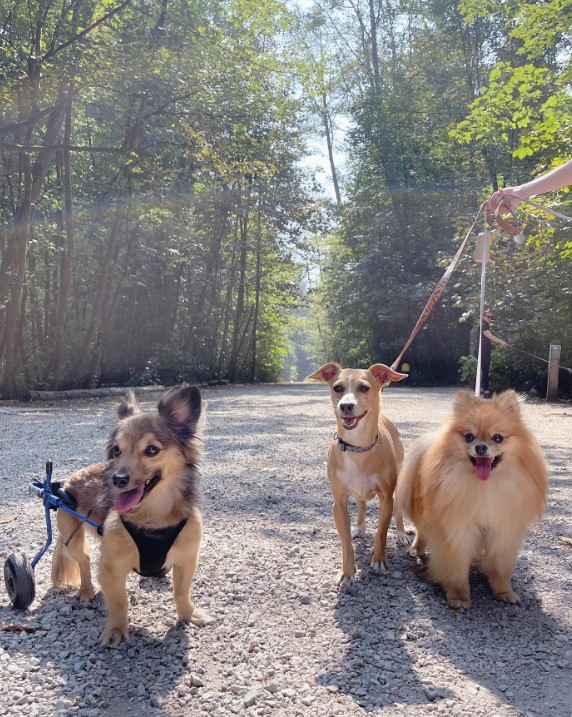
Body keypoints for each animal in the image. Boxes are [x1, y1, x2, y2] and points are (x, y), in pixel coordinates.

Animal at [51, 386, 211, 644]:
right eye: (117, 450)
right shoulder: (111, 567)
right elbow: (119, 601)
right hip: (71, 537)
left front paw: (188, 614)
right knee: (83, 560)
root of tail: (67, 482)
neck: (153, 517)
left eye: (151, 450)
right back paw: (86, 590)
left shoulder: (187, 559)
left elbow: (181, 592)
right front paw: (116, 630)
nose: (118, 479)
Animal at [308, 364, 412, 588]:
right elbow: (345, 542)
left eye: (364, 388)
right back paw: (359, 527)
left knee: (398, 511)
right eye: (337, 387)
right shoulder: (338, 503)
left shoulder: (386, 498)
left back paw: (400, 533)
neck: (358, 448)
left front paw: (379, 560)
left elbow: (381, 532)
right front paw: (347, 572)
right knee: (362, 504)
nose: (346, 406)